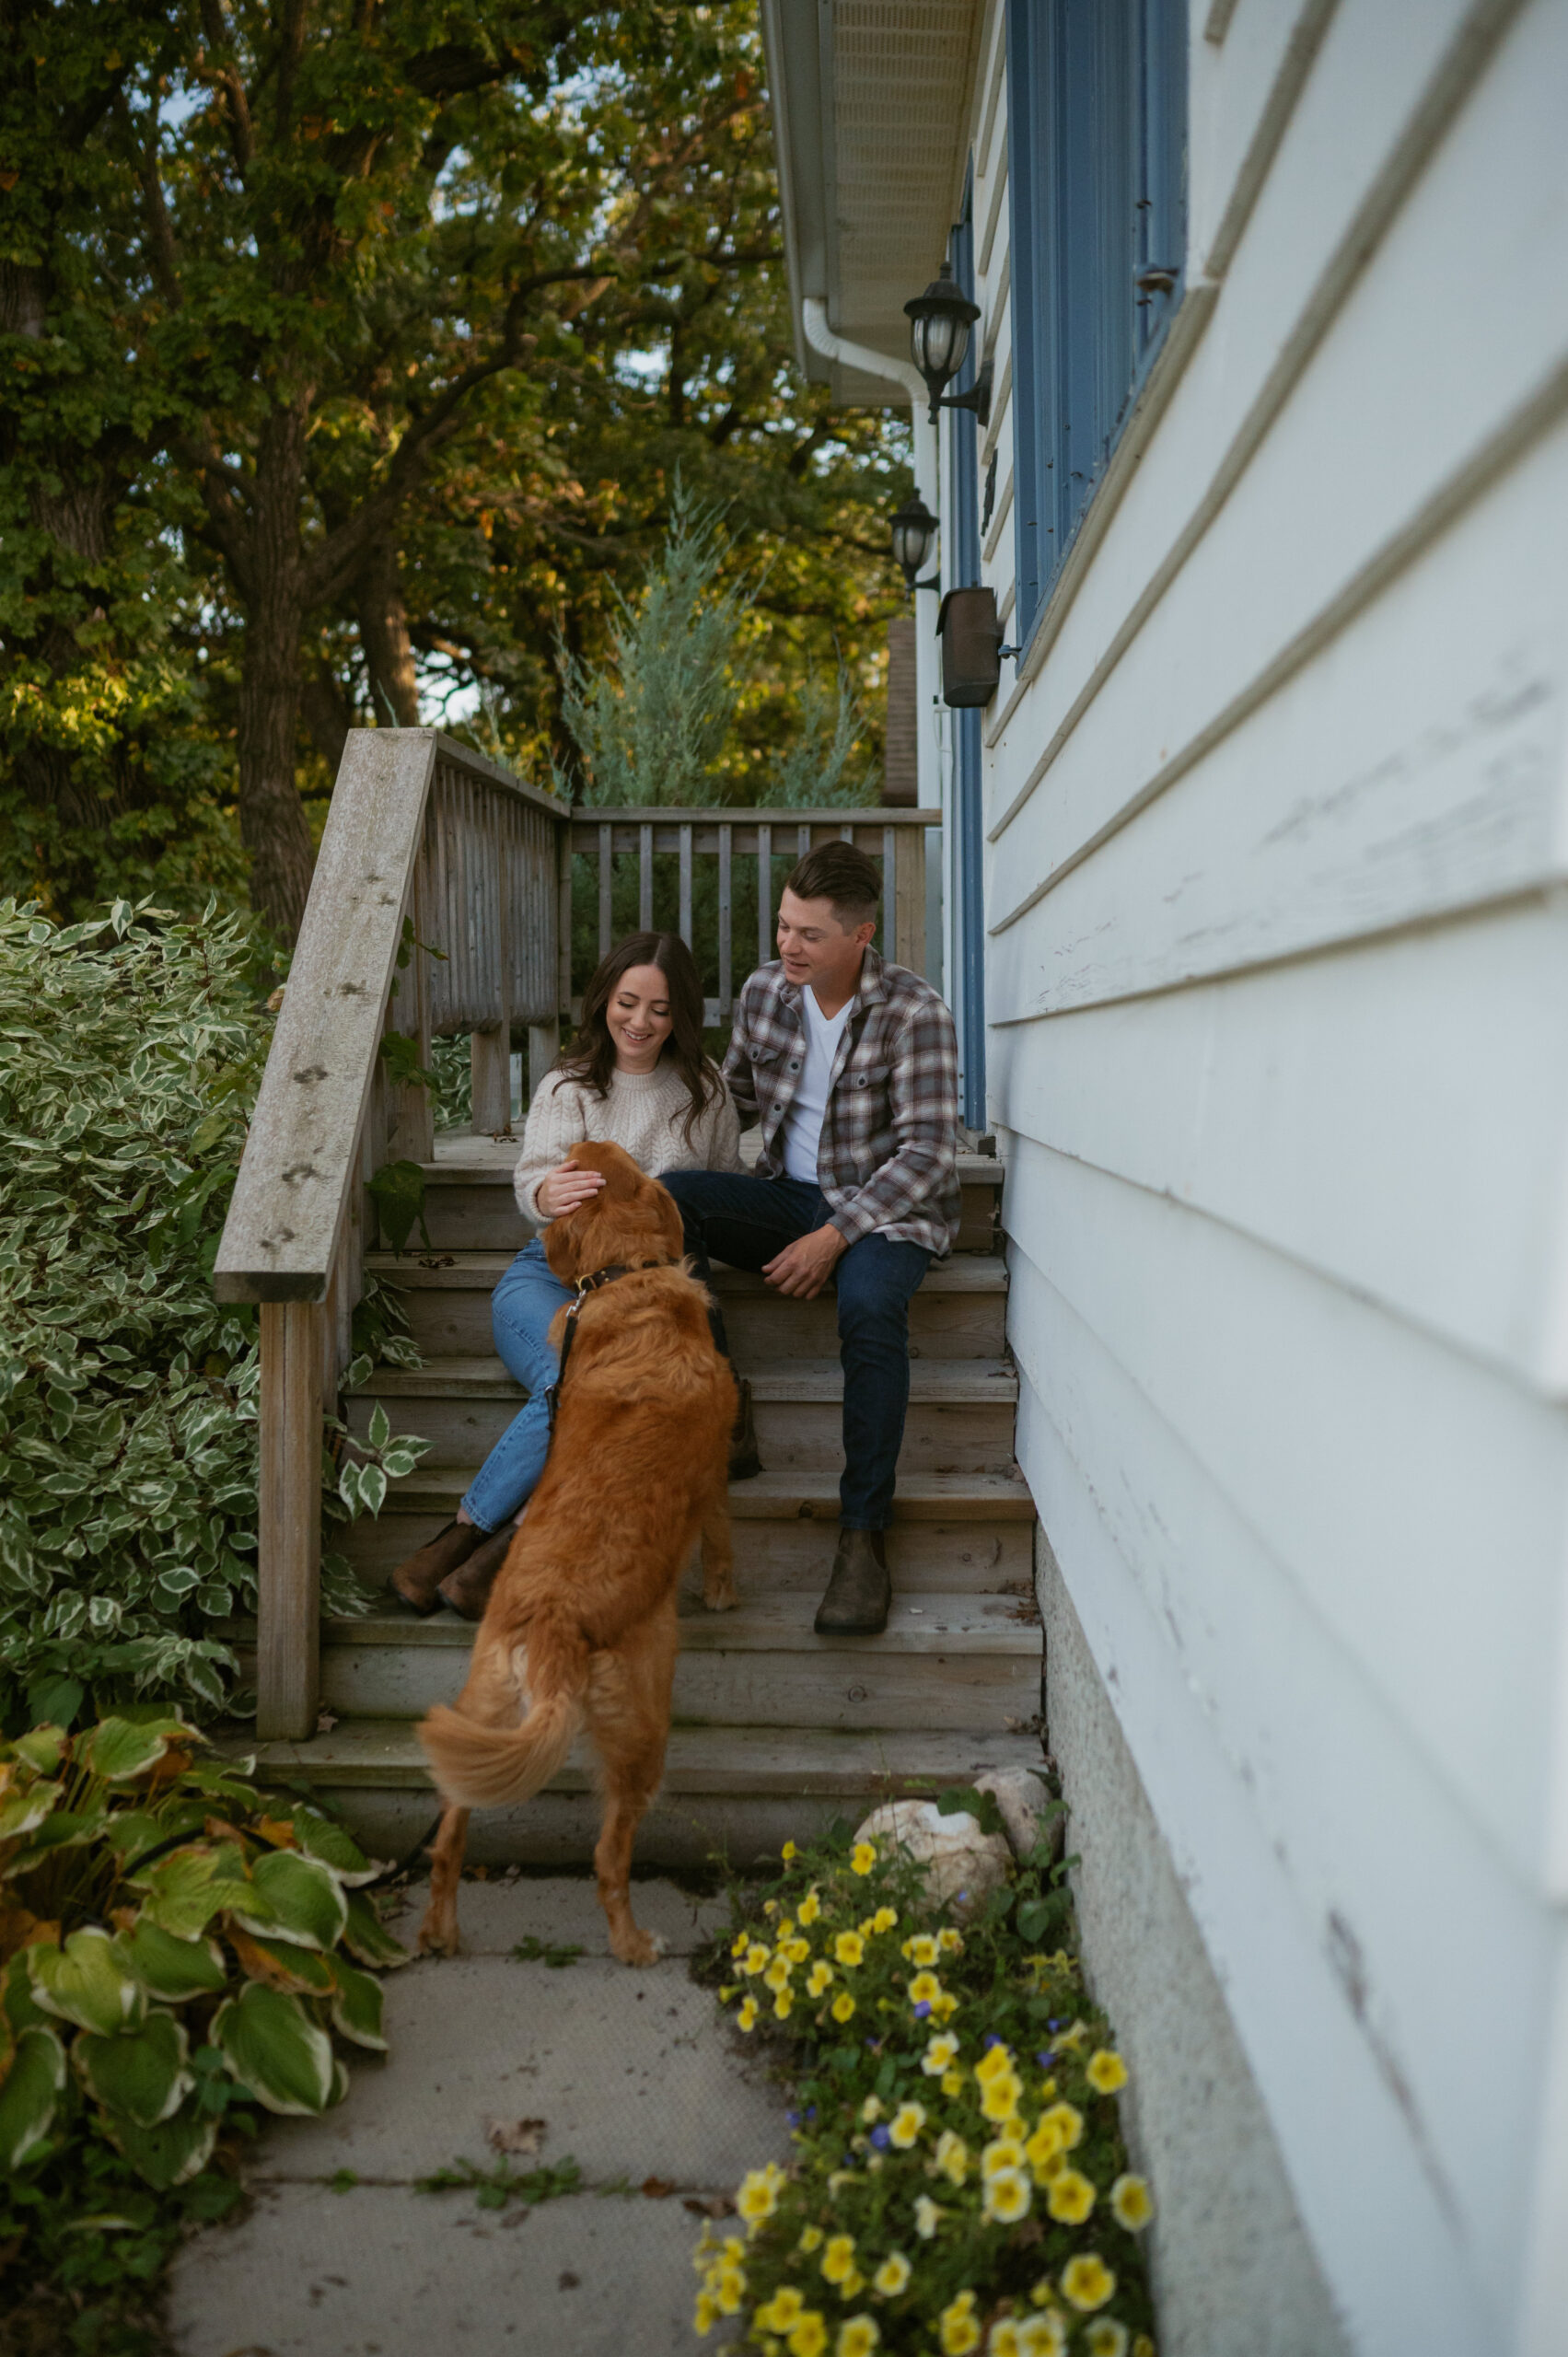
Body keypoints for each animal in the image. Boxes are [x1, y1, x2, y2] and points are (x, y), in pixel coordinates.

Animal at [412, 1150, 736, 1960]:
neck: (628, 1281)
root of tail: (553, 1625)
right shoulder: (715, 1471)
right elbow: (721, 1537)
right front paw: (723, 1591)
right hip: (641, 1727)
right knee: (607, 1858)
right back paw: (632, 1943)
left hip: (485, 1707)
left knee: (450, 1834)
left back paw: (440, 1930)